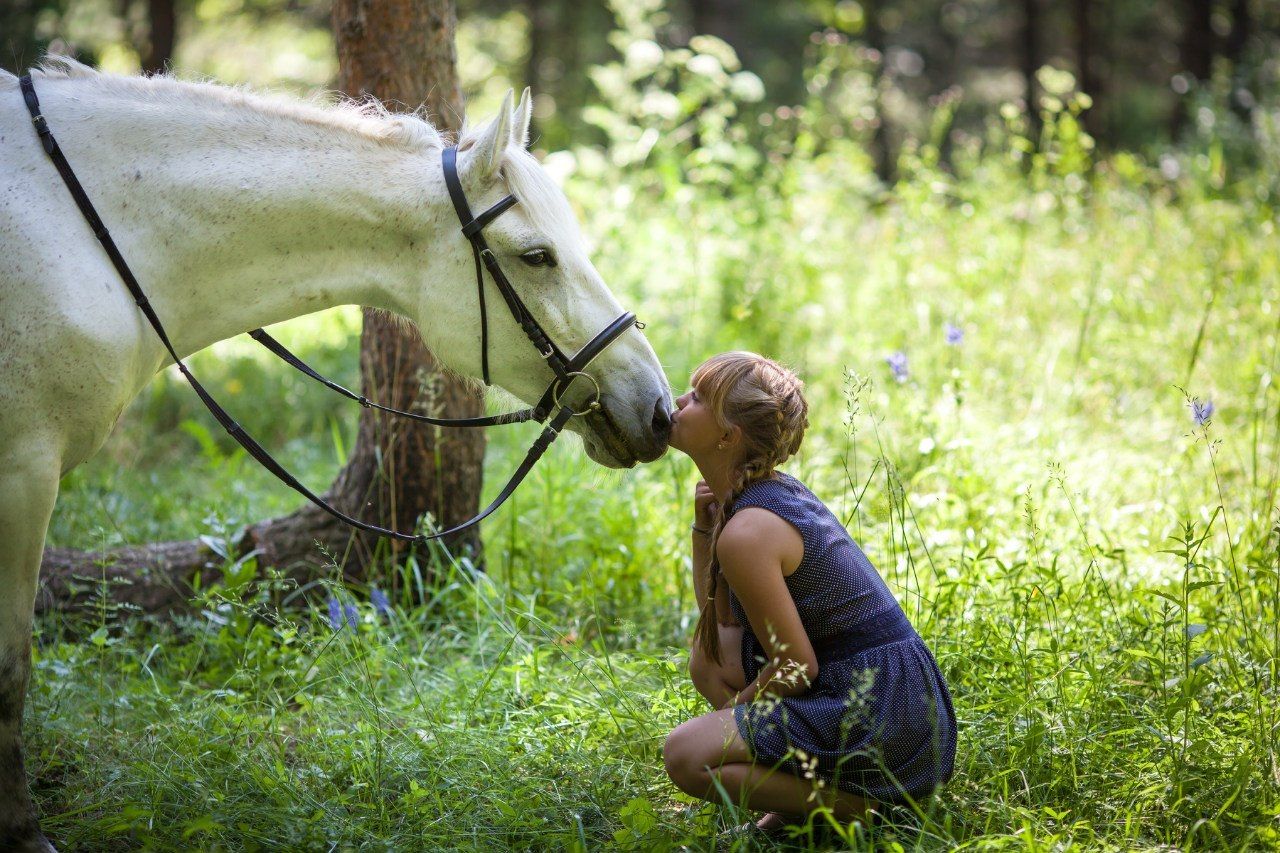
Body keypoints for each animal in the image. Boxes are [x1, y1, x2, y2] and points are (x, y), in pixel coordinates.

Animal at [0, 57, 672, 851]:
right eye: (536, 256)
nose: (658, 409)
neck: (85, 231)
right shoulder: (22, 475)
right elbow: (11, 668)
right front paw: (22, 830)